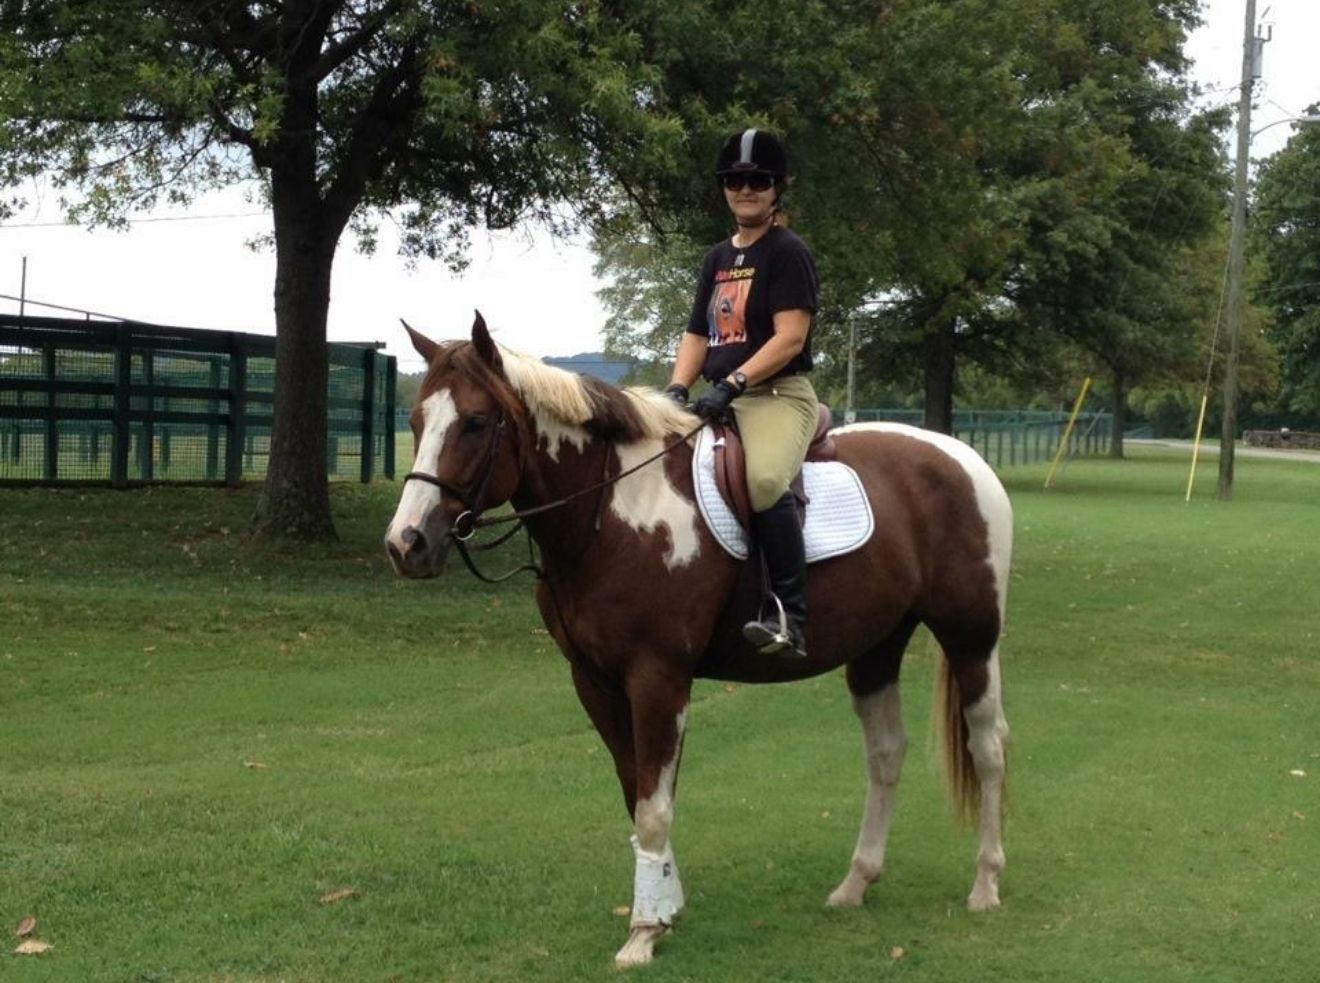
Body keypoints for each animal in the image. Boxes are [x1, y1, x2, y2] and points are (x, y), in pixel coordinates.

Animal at [385, 314, 1013, 967]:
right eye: (417, 422)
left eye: (476, 423)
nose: (406, 543)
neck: (615, 510)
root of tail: (962, 457)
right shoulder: (594, 681)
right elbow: (635, 795)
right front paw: (664, 906)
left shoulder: (659, 678)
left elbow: (654, 808)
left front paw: (642, 931)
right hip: (876, 649)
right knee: (886, 753)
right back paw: (856, 883)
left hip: (972, 638)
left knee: (989, 746)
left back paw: (986, 883)